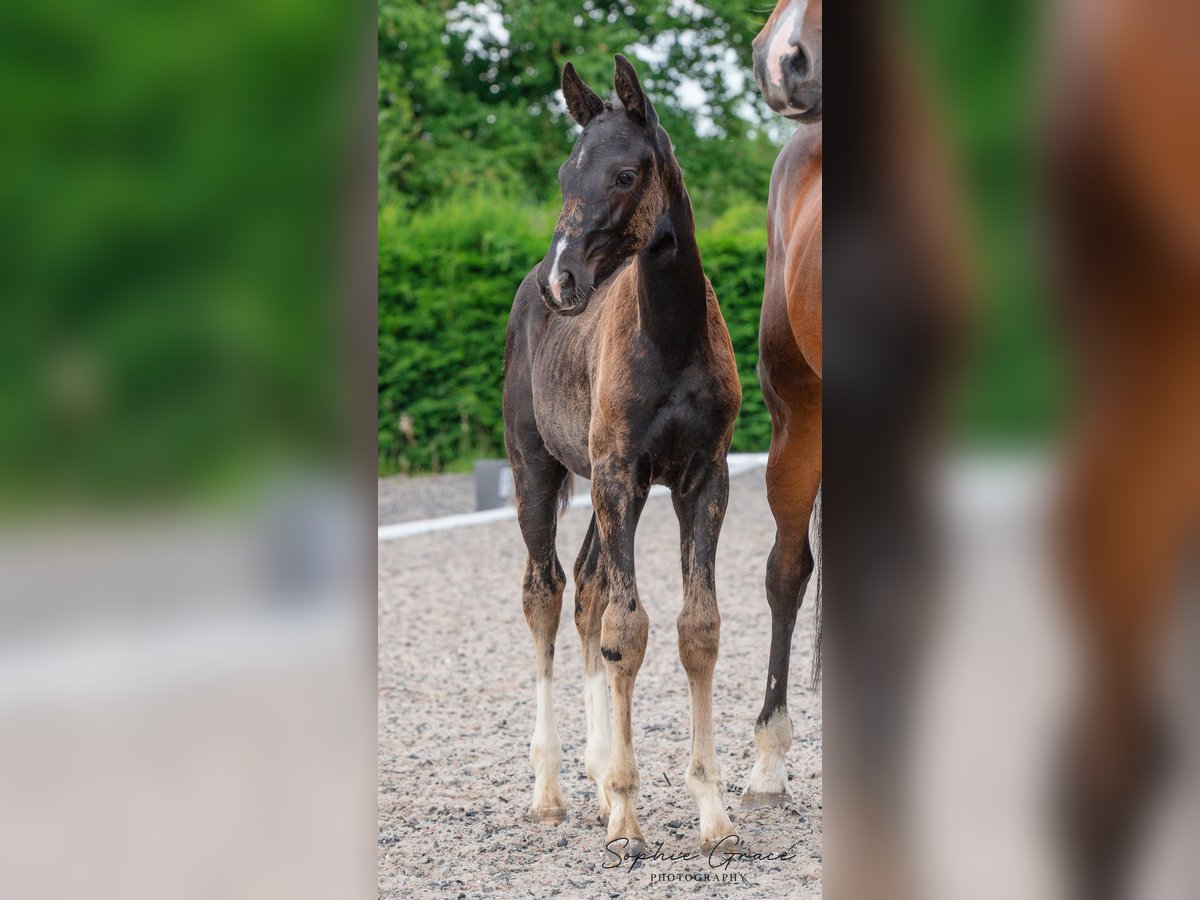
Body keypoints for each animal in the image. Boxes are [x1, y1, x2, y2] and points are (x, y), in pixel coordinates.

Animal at [504, 56, 744, 859]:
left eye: (625, 173)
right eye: (562, 173)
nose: (564, 282)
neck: (668, 337)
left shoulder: (702, 478)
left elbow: (695, 629)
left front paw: (714, 816)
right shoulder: (616, 475)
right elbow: (627, 631)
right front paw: (628, 822)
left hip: (614, 489)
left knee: (585, 589)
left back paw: (597, 766)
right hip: (538, 469)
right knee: (545, 592)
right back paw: (550, 790)